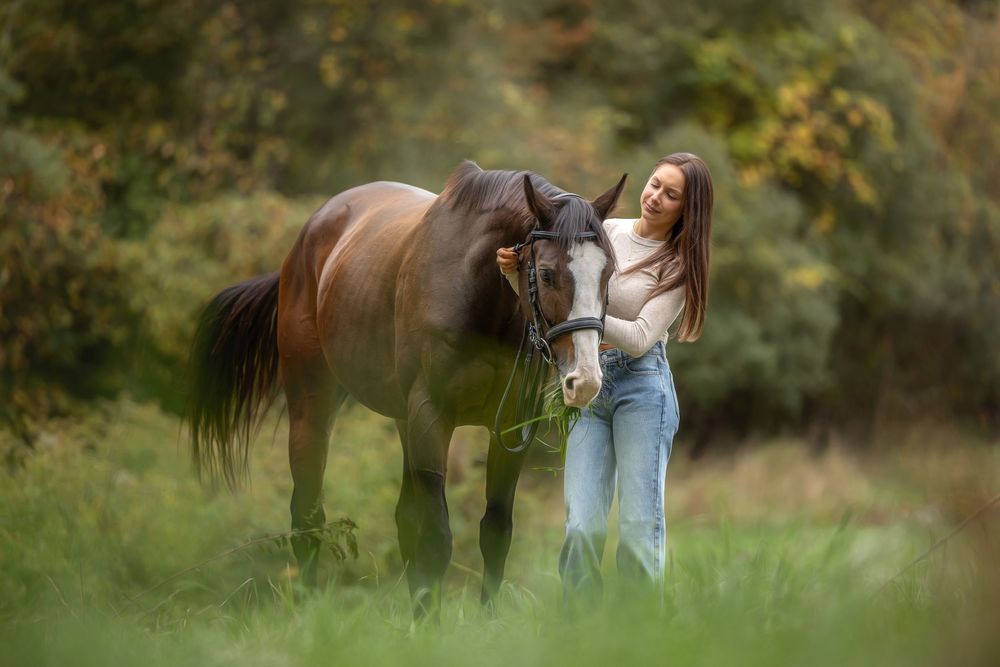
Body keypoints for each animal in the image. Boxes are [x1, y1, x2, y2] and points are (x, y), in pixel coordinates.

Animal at [187, 161, 626, 616]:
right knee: (307, 515)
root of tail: (305, 240)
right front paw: (428, 620)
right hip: (312, 408)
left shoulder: (509, 427)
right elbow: (436, 537)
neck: (478, 291)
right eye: (546, 273)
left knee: (401, 518)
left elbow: (494, 532)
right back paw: (308, 606)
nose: (586, 379)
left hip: (402, 420)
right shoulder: (431, 418)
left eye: (609, 272)